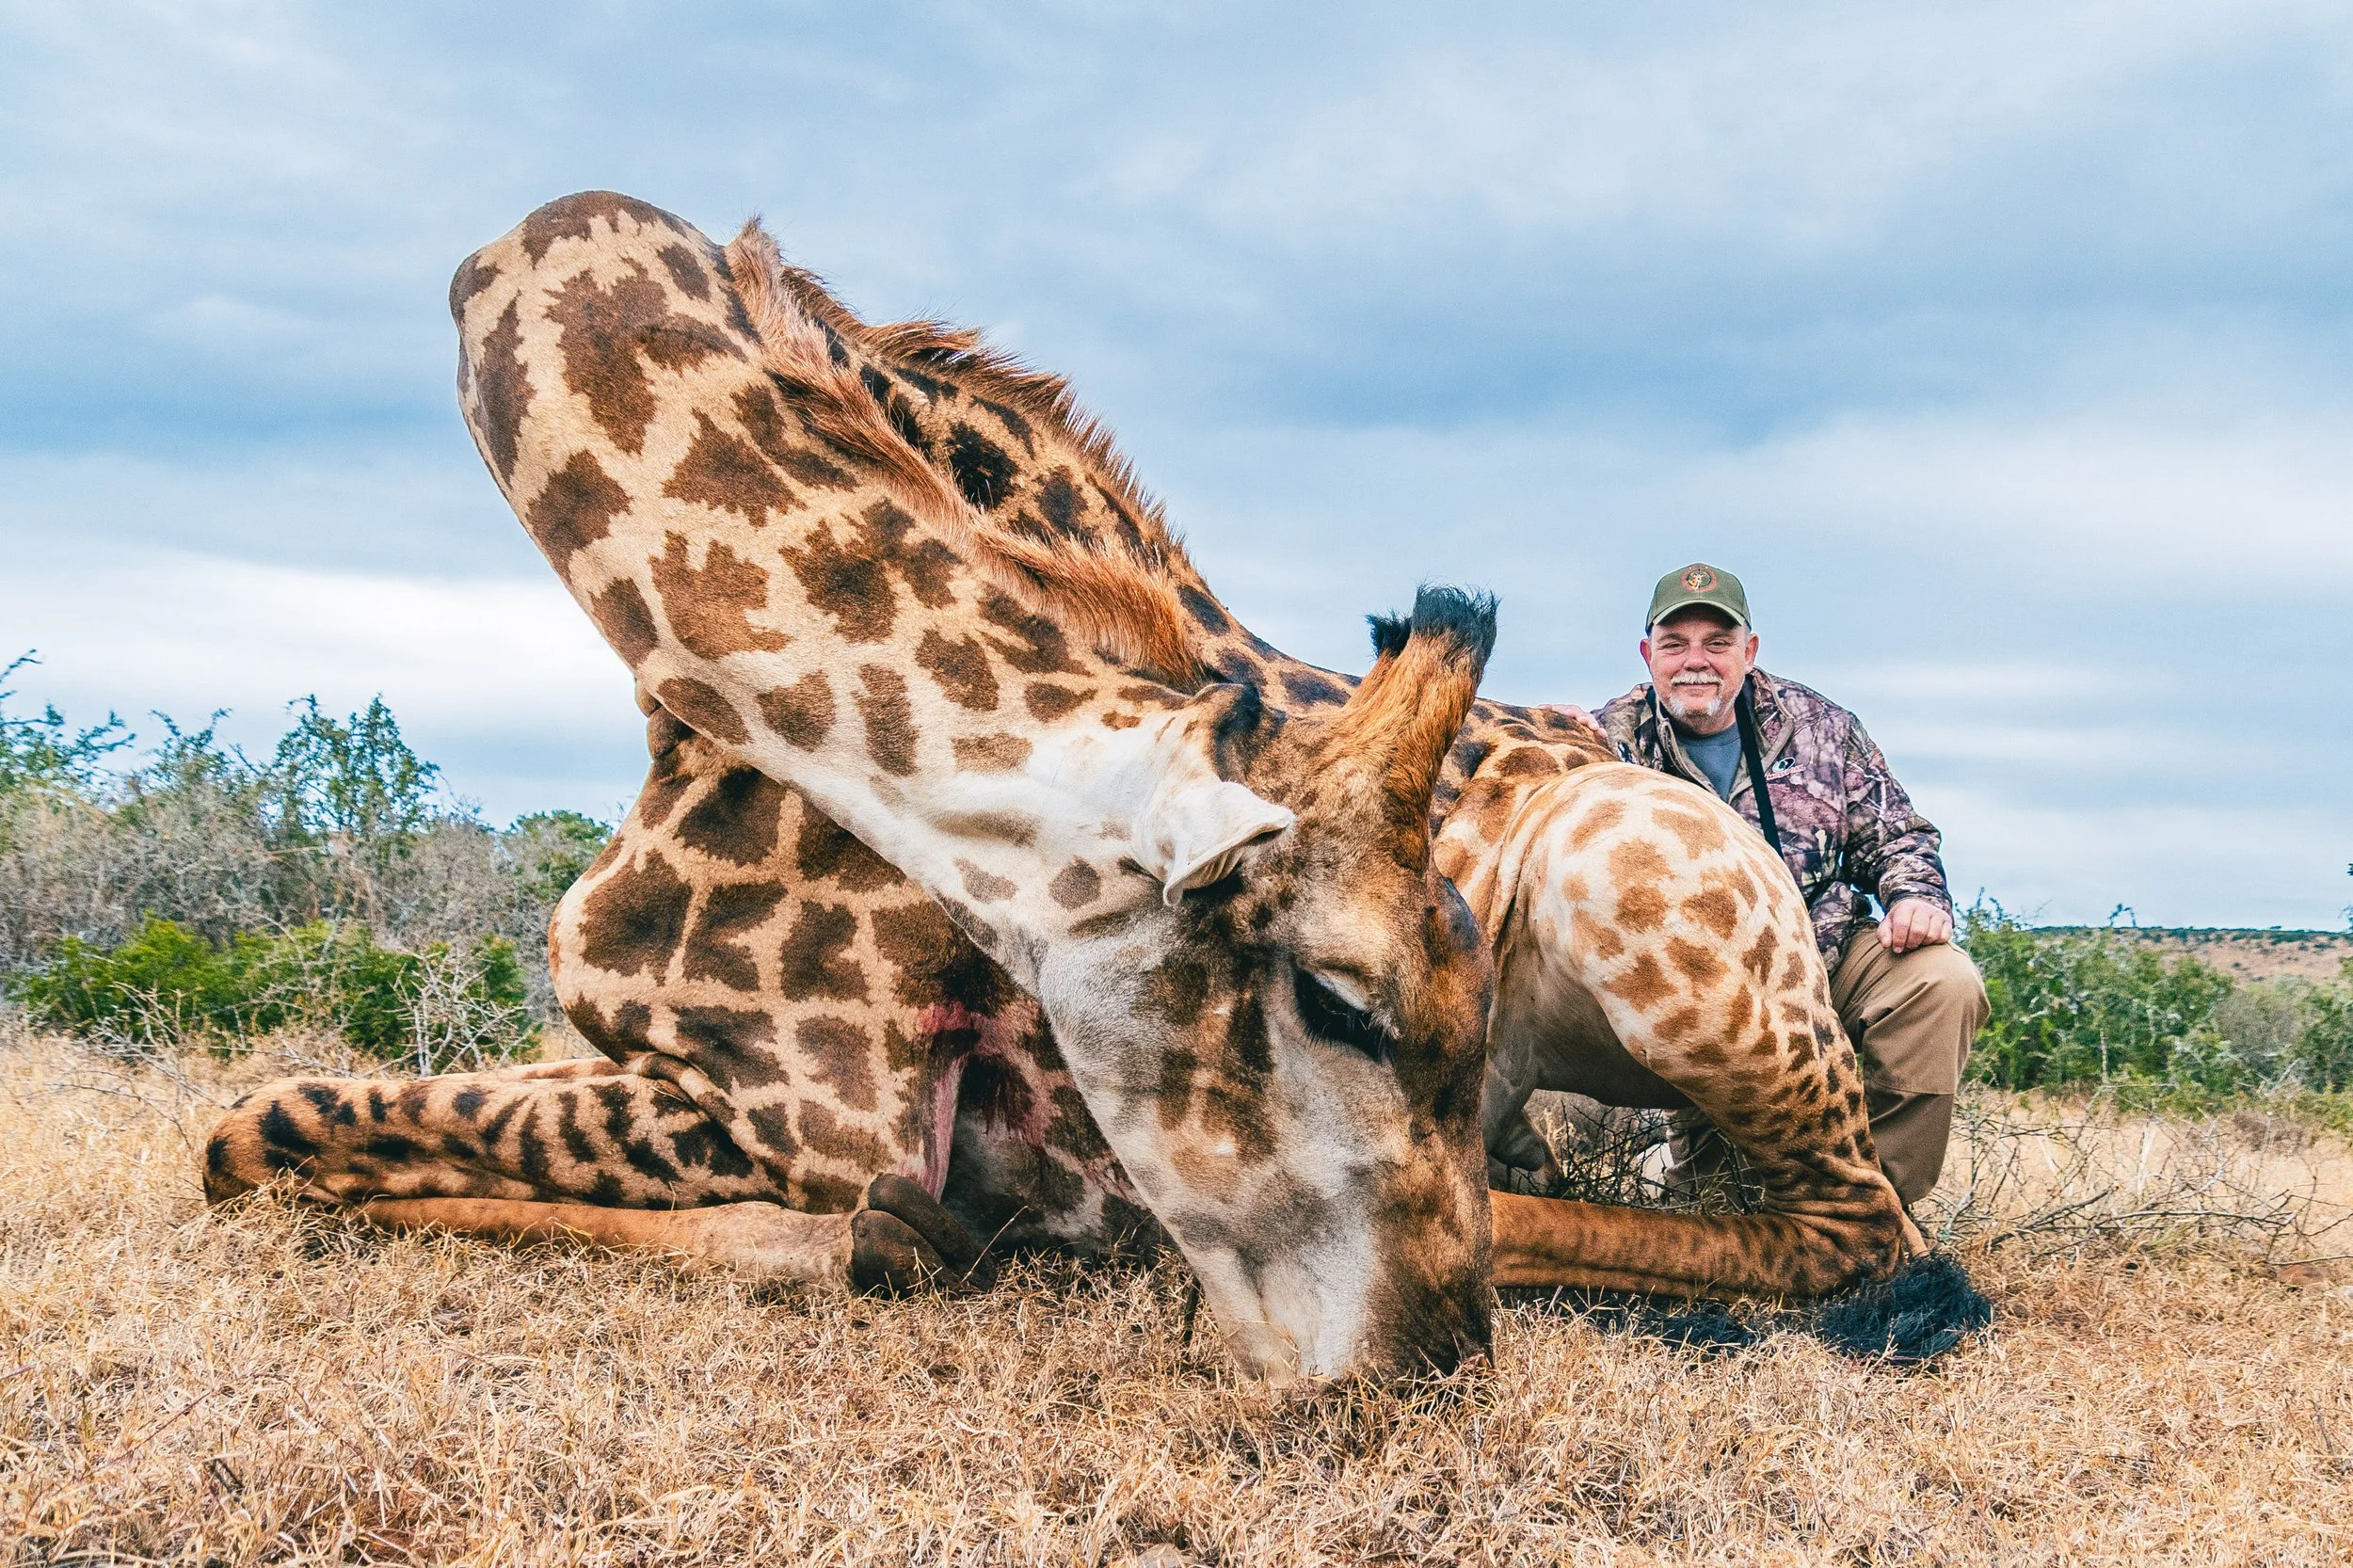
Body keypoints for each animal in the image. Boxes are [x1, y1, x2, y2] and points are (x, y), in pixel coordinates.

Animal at [206, 189, 1922, 1375]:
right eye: (1342, 1002)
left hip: (1637, 879)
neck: (694, 707)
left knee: (1866, 1232)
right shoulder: (680, 1061)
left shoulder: (812, 1108)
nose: (1433, 1361)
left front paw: (920, 1238)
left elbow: (264, 1127)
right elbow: (264, 1126)